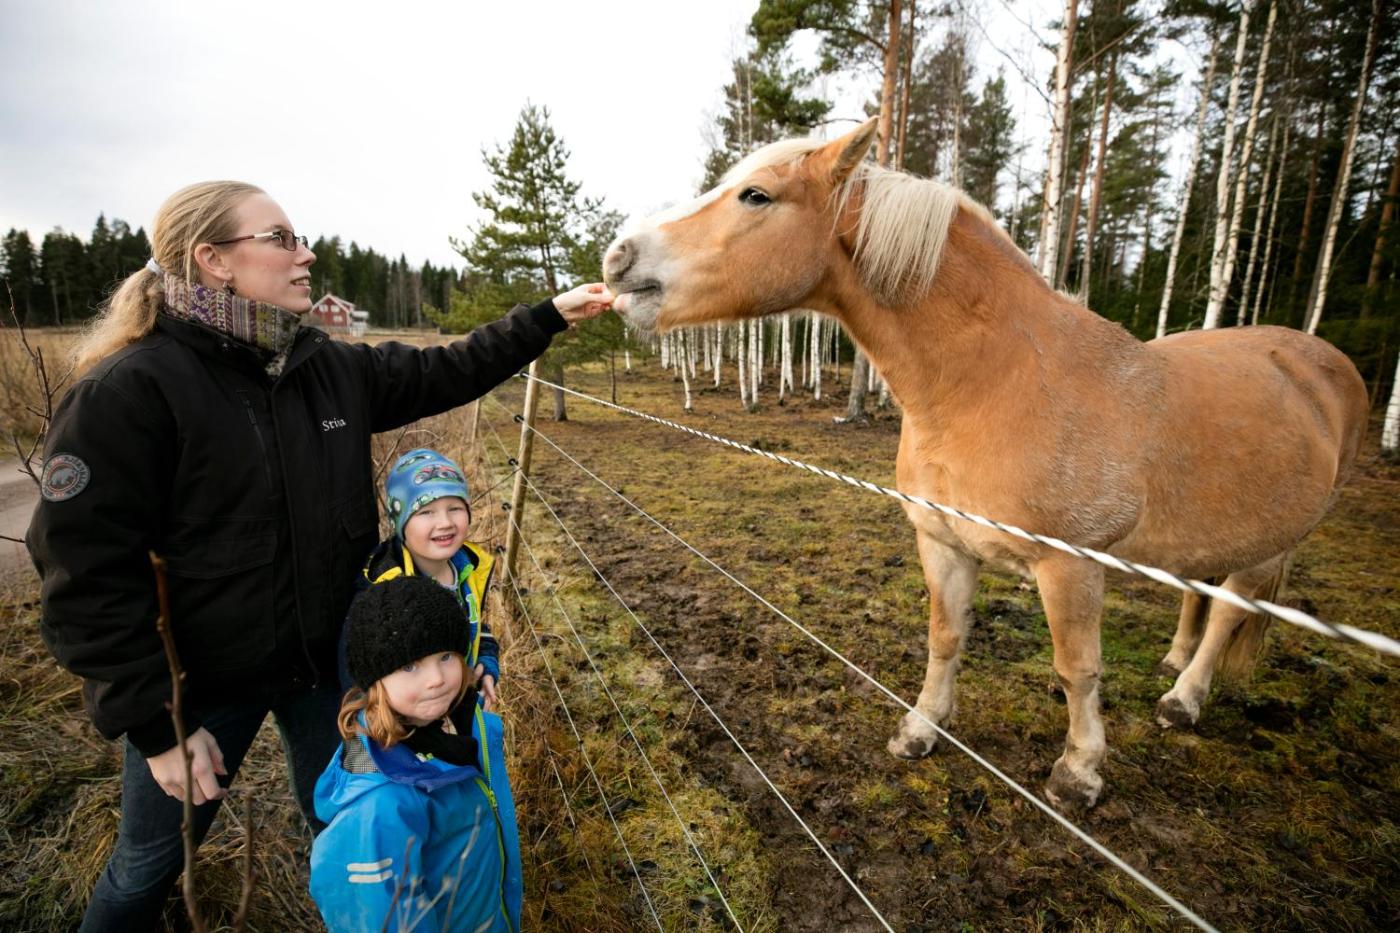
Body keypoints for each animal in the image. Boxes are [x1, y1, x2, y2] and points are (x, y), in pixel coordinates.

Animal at [602, 119, 1369, 810]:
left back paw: (1183, 699)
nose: (617, 259)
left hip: (1276, 541)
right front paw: (920, 728)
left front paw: (1079, 771)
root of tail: (1324, 363)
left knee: (1232, 609)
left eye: (755, 195)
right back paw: (1176, 663)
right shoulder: (942, 542)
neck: (997, 381)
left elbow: (1078, 668)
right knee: (1200, 593)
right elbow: (945, 637)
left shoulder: (1071, 565)